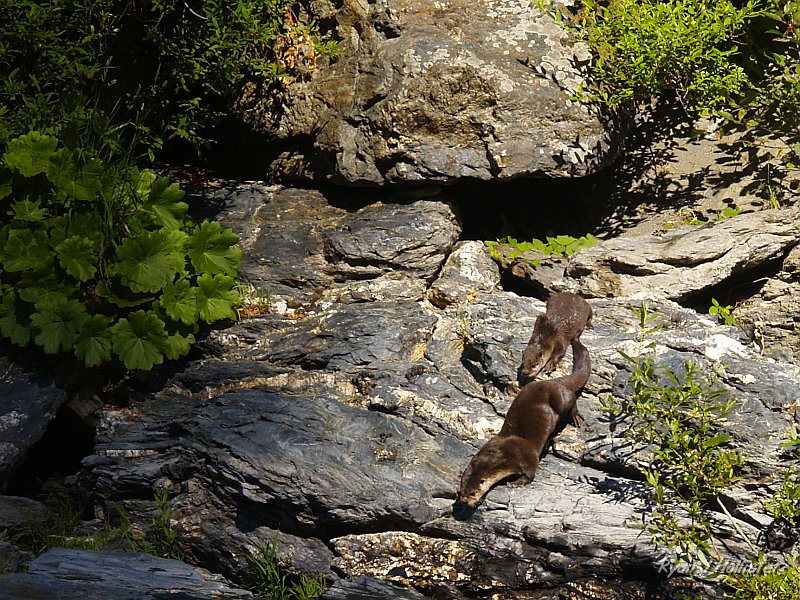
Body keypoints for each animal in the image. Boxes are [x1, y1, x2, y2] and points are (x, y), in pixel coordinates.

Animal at [453, 336, 591, 519]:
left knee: (572, 398)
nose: (465, 502)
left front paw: (516, 483)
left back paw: (575, 416)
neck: (498, 457)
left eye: (473, 493)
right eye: (461, 492)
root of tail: (553, 381)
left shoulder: (524, 456)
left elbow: (530, 472)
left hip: (560, 400)